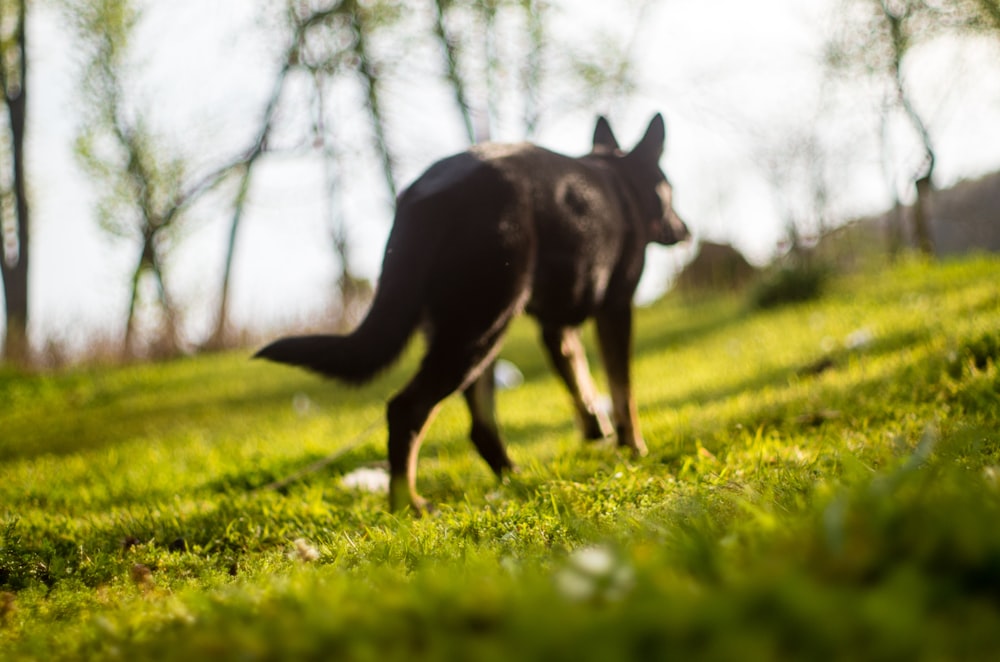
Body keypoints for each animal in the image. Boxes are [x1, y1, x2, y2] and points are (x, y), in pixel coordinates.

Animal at [256, 114, 688, 512]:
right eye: (670, 189)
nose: (685, 231)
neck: (620, 179)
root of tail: (422, 196)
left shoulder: (555, 327)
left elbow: (578, 378)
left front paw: (595, 428)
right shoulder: (616, 308)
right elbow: (623, 391)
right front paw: (633, 448)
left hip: (470, 330)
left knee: (480, 425)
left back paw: (511, 476)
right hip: (482, 326)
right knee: (406, 409)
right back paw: (408, 504)